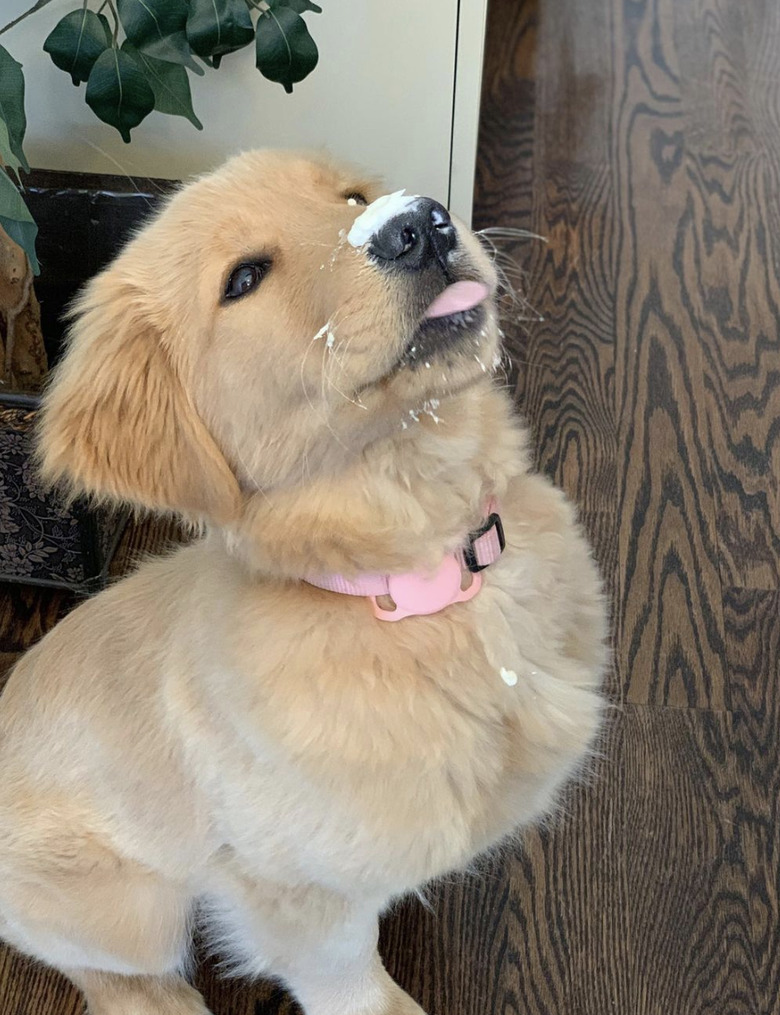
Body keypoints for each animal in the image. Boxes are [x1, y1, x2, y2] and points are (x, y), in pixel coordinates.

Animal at [0, 150, 605, 1015]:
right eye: (245, 277)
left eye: (350, 197)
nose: (418, 223)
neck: (423, 581)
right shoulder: (287, 892)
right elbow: (352, 978)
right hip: (130, 904)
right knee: (101, 966)